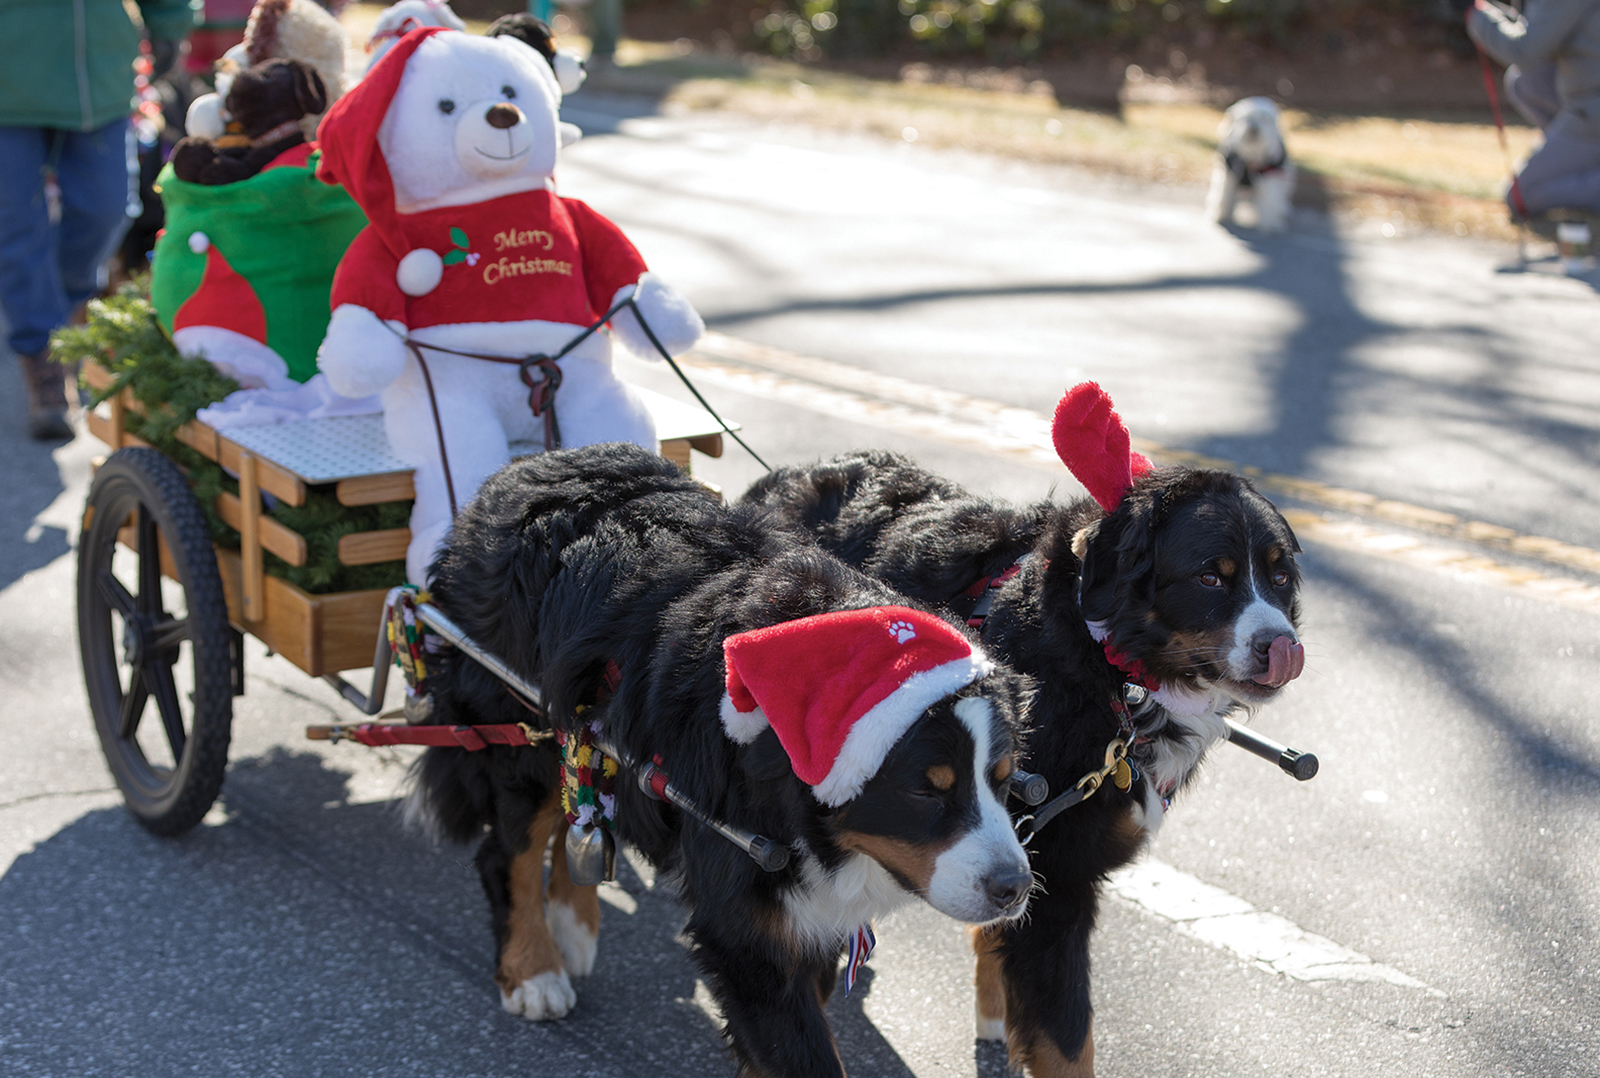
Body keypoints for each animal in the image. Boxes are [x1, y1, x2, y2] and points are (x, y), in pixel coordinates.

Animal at [406, 441, 1036, 1074]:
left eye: (1002, 779)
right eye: (925, 789)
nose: (1015, 887)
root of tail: (531, 464)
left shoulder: (806, 918)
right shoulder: (747, 930)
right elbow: (800, 1048)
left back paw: (573, 921)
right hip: (518, 734)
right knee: (505, 851)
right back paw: (534, 972)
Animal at [742, 387, 1305, 1074]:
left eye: (1278, 575)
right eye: (1209, 576)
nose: (1281, 645)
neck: (1106, 670)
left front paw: (996, 1015)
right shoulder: (1055, 879)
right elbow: (1069, 1041)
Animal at [1203, 95, 1292, 231]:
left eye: (1263, 118)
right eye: (1246, 119)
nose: (1254, 129)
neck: (1251, 155)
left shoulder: (1271, 178)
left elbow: (1270, 202)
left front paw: (1271, 225)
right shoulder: (1228, 174)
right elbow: (1223, 196)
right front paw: (1220, 215)